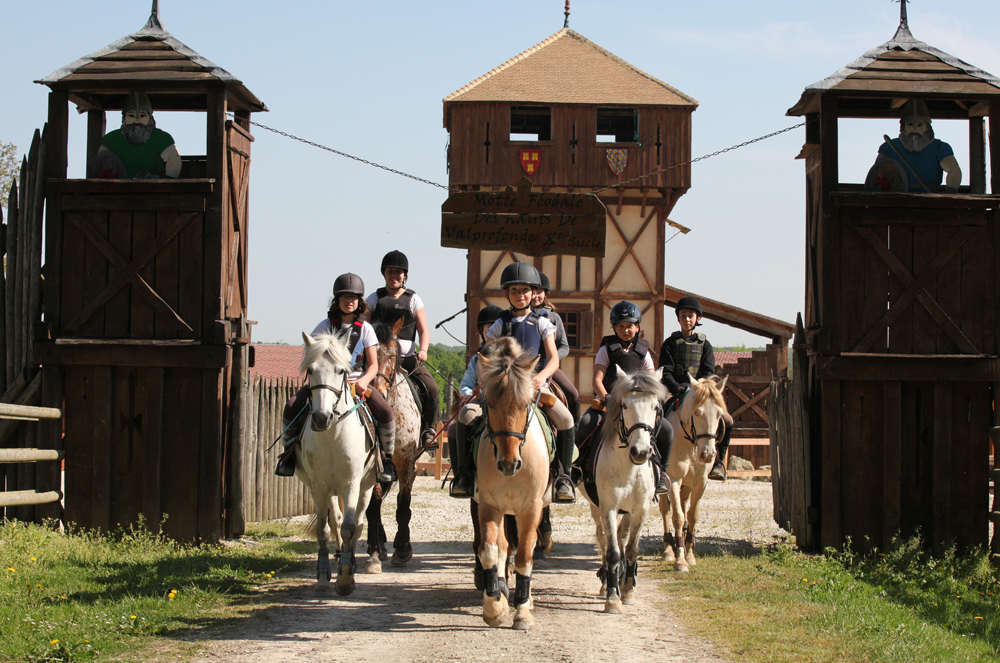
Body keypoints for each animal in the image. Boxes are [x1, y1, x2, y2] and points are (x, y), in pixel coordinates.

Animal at [296, 332, 378, 596]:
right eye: (310, 370)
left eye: (341, 371)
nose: (322, 418)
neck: (332, 435)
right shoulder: (318, 486)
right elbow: (324, 529)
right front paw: (323, 576)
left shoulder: (351, 483)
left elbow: (350, 527)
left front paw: (344, 579)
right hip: (330, 489)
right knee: (336, 520)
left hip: (366, 487)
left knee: (358, 523)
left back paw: (349, 561)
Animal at [580, 366, 664, 616]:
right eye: (624, 405)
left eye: (655, 407)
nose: (640, 452)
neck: (629, 467)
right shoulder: (608, 507)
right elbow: (613, 552)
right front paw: (612, 599)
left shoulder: (640, 509)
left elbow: (632, 549)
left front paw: (627, 590)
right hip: (596, 507)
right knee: (604, 538)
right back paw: (605, 582)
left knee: (621, 536)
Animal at [660, 376, 732, 572]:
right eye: (697, 413)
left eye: (719, 414)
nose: (707, 455)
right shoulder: (674, 480)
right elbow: (677, 516)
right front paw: (680, 561)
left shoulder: (700, 482)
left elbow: (692, 515)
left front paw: (689, 555)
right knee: (665, 510)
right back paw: (669, 549)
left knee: (684, 505)